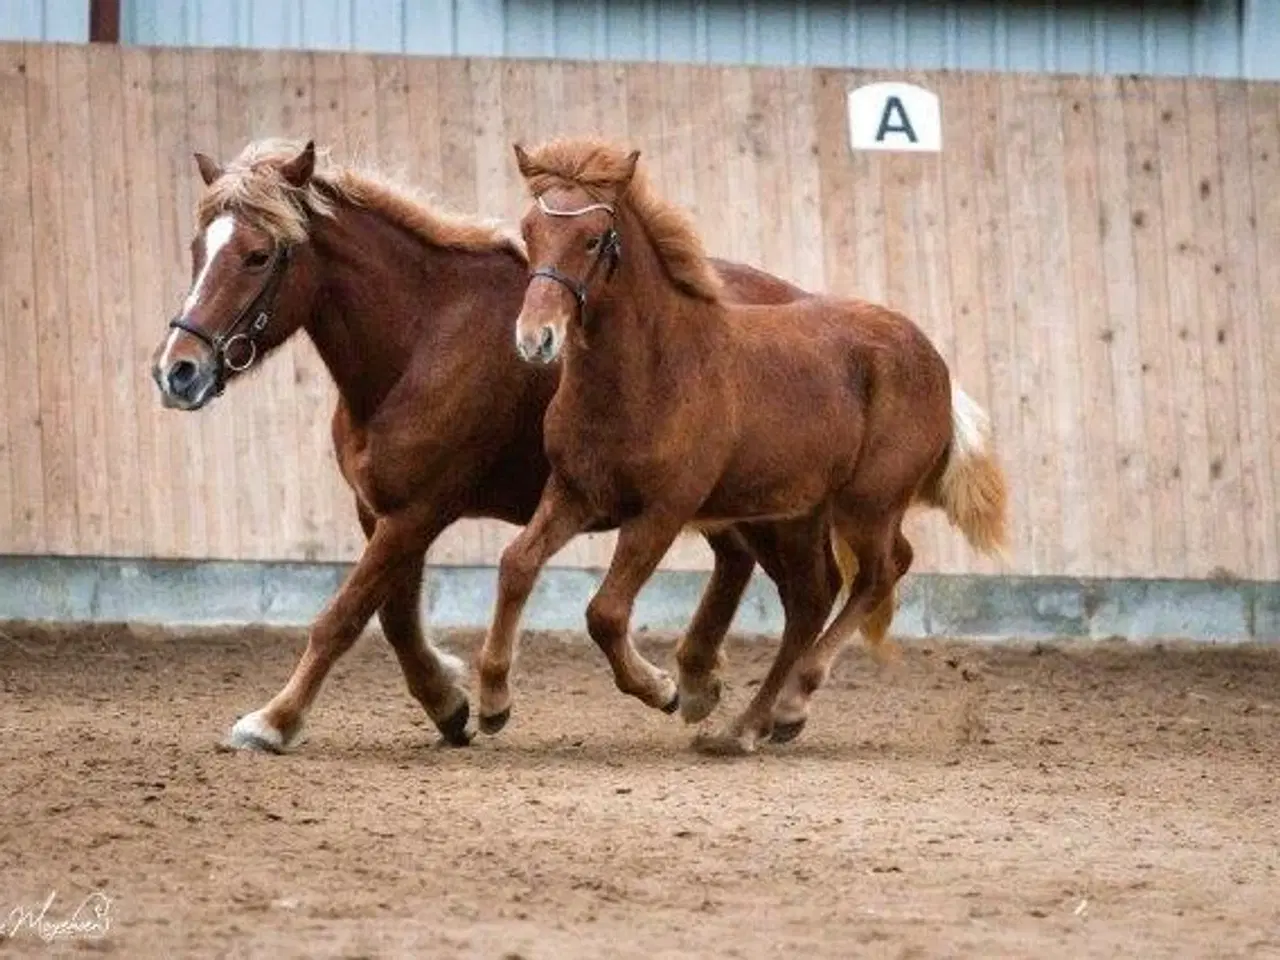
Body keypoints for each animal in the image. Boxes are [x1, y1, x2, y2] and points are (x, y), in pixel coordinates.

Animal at [147, 136, 890, 752]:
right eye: (197, 250)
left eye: (257, 255)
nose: (178, 371)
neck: (422, 340)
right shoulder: (383, 510)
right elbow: (394, 617)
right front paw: (450, 703)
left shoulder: (416, 512)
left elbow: (344, 616)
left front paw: (273, 721)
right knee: (746, 568)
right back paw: (701, 682)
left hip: (777, 509)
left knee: (809, 592)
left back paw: (759, 706)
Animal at [481, 138, 1008, 757]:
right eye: (530, 230)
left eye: (592, 238)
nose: (535, 339)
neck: (653, 372)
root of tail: (934, 360)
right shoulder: (574, 491)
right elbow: (517, 563)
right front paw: (492, 701)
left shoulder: (664, 510)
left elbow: (605, 612)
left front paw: (662, 689)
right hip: (797, 513)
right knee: (812, 597)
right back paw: (750, 725)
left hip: (867, 504)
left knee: (878, 573)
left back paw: (788, 704)